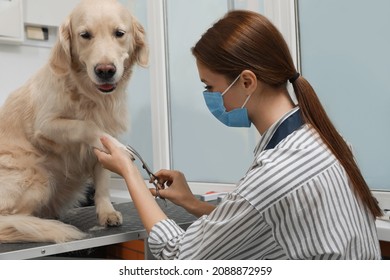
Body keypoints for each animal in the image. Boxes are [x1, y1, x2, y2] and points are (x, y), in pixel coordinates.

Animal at [0, 0, 148, 242]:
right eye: (85, 35)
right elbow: (86, 125)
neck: (90, 94)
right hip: (39, 177)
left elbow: (103, 180)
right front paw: (119, 148)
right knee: (10, 217)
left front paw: (106, 212)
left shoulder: (107, 134)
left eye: (119, 33)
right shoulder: (46, 125)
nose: (105, 71)